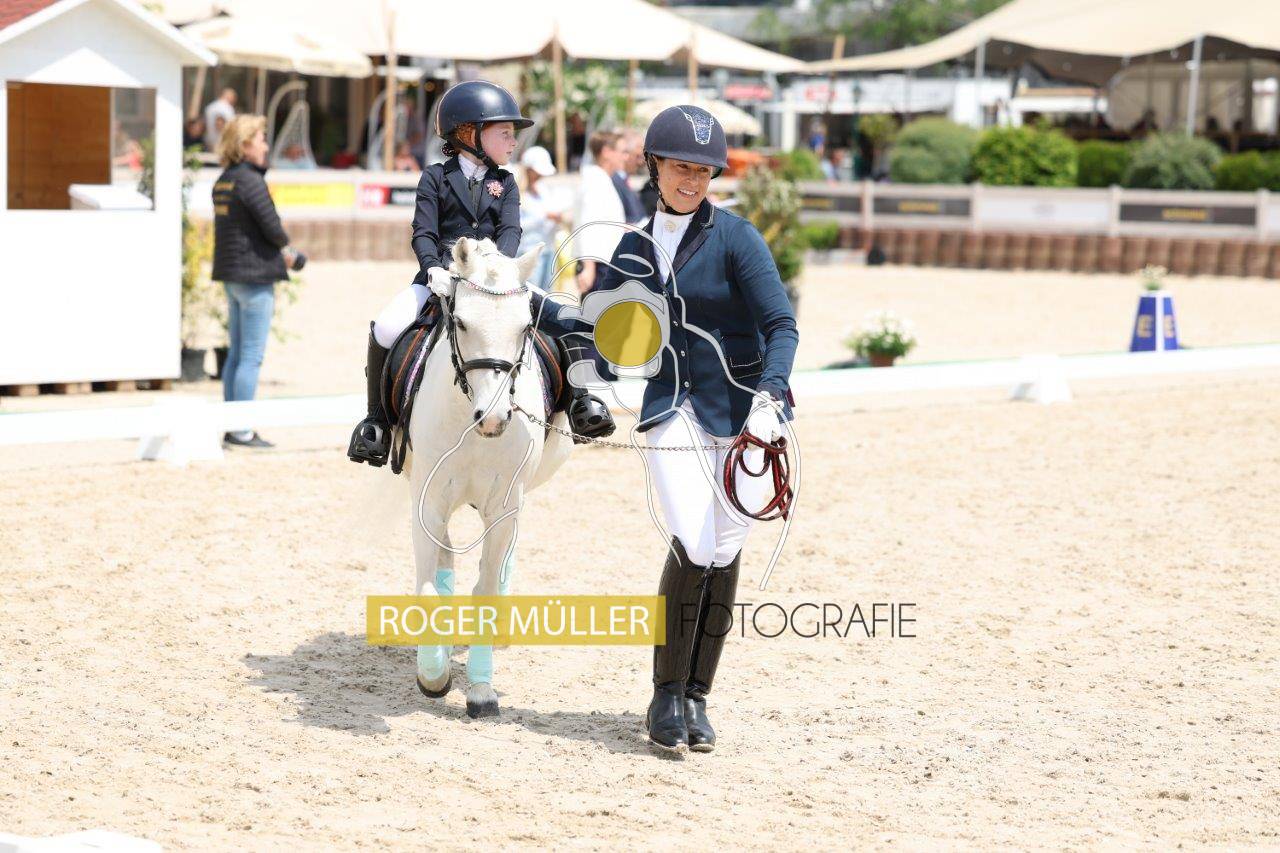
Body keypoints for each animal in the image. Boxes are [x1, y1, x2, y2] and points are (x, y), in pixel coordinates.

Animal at [403, 236, 574, 718]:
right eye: (460, 322)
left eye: (525, 328)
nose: (494, 418)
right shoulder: (428, 503)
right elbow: (429, 589)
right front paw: (433, 676)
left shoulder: (503, 506)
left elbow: (485, 589)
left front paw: (481, 691)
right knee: (445, 565)